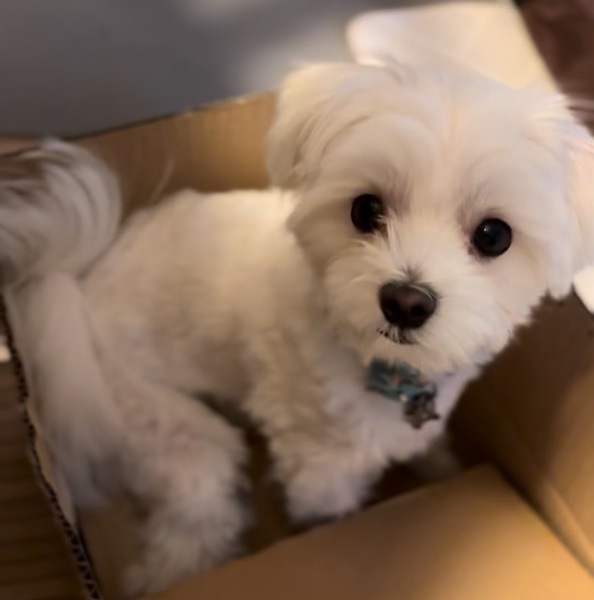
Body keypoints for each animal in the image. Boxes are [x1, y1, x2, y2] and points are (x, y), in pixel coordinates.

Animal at [1, 61, 593, 597]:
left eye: (494, 236)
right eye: (365, 209)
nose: (405, 301)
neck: (385, 369)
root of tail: (79, 285)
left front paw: (440, 463)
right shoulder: (319, 465)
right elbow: (327, 508)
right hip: (150, 414)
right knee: (193, 516)